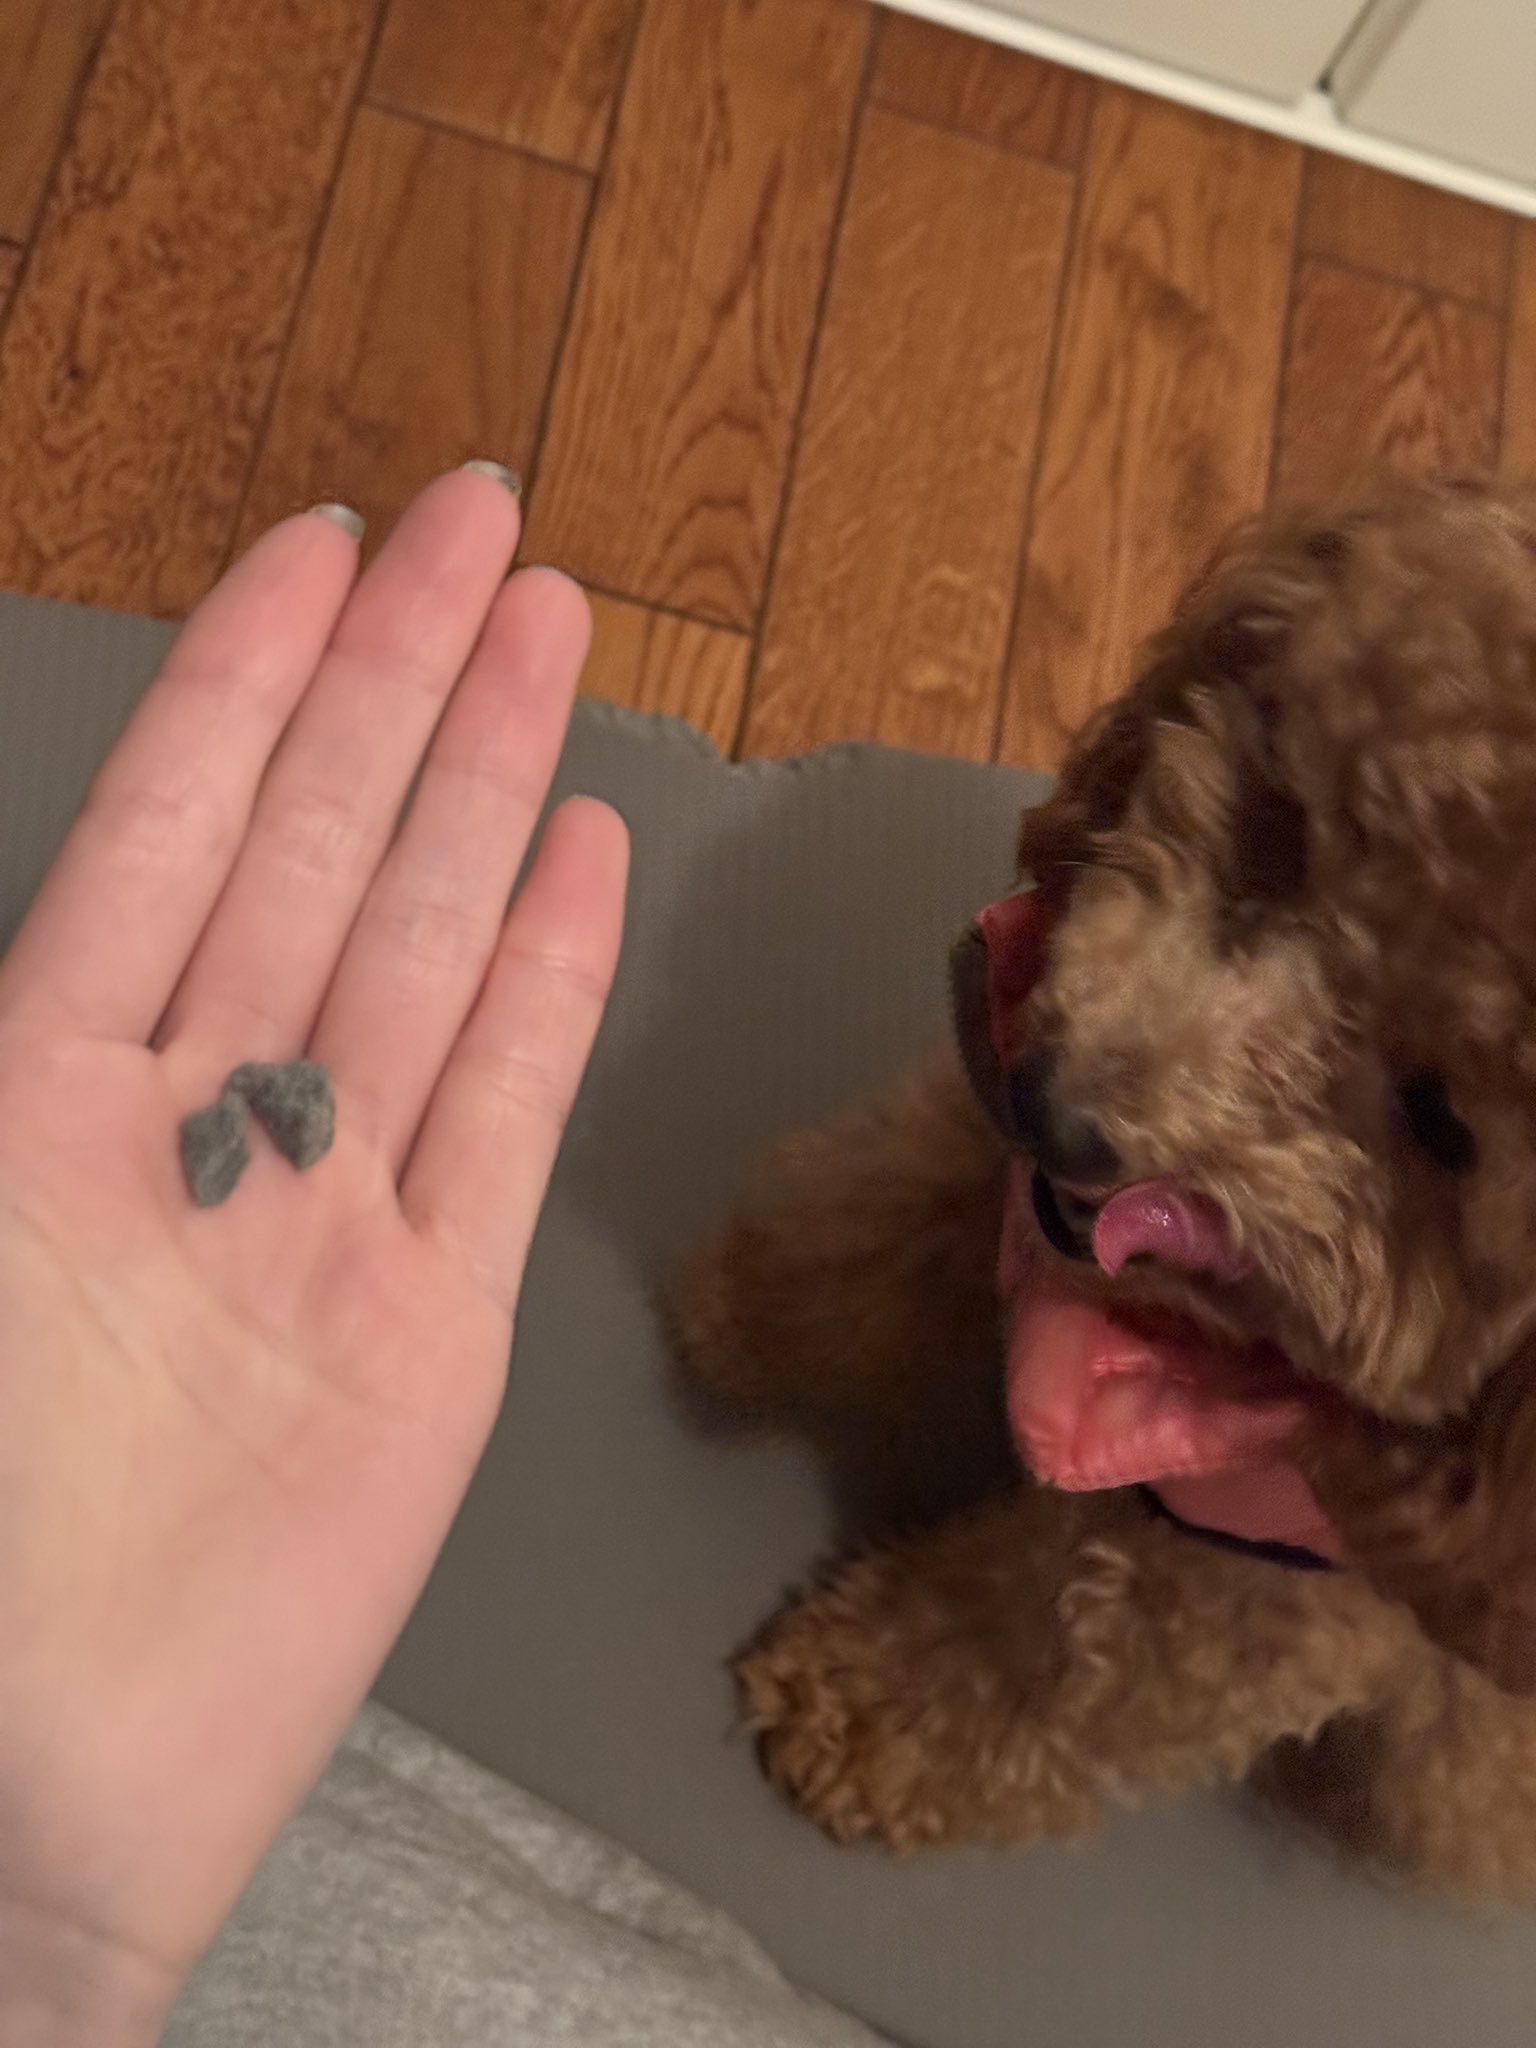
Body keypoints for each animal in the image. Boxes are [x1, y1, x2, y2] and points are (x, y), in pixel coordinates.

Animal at [674, 475, 1536, 1901]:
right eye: (1281, 828)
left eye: (1439, 1120)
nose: (1062, 1112)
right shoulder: (1012, 1168)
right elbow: (891, 1212)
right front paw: (746, 1307)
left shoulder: (1266, 1590)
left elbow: (1055, 1659)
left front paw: (861, 1717)